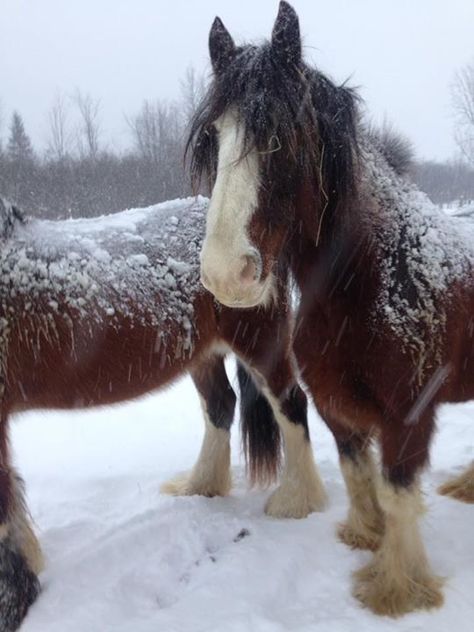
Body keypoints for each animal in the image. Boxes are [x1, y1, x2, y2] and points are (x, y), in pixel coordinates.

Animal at [0, 195, 326, 628]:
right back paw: (200, 486)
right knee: (220, 405)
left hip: (260, 340)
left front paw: (15, 599)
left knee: (290, 405)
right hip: (203, 355)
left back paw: (297, 502)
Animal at [189, 0, 474, 620]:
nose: (225, 274)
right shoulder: (333, 403)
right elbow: (357, 473)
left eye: (281, 136)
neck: (369, 282)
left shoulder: (408, 417)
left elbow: (396, 492)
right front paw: (364, 537)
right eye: (213, 138)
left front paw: (397, 588)